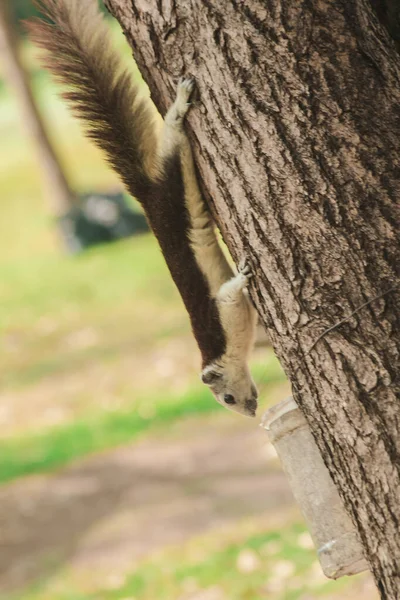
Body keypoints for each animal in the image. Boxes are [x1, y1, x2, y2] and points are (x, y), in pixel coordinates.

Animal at [28, 0, 260, 418]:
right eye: (228, 401)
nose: (250, 412)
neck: (222, 350)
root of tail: (147, 196)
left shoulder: (221, 317)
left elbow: (230, 293)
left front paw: (245, 274)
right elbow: (230, 293)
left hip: (171, 177)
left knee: (173, 136)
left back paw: (180, 104)